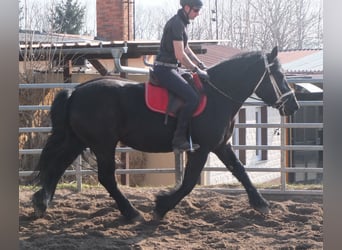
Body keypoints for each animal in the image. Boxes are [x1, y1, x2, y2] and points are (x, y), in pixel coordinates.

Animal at [32, 46, 300, 221]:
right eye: (279, 75)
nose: (293, 105)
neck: (217, 96)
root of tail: (76, 91)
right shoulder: (203, 148)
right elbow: (189, 181)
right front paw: (162, 206)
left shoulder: (221, 145)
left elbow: (240, 171)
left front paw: (261, 203)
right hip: (103, 144)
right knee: (106, 177)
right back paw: (131, 212)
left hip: (77, 140)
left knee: (57, 166)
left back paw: (42, 202)